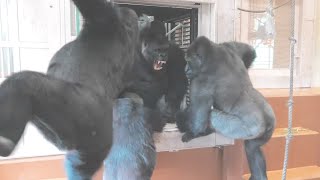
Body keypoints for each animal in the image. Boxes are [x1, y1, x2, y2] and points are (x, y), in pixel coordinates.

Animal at [176, 36, 276, 180]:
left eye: (189, 61)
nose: (185, 70)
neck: (211, 54)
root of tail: (267, 119)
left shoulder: (200, 79)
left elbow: (199, 116)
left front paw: (193, 133)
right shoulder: (227, 47)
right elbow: (249, 51)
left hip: (246, 128)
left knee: (213, 116)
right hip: (266, 131)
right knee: (252, 147)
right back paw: (259, 175)